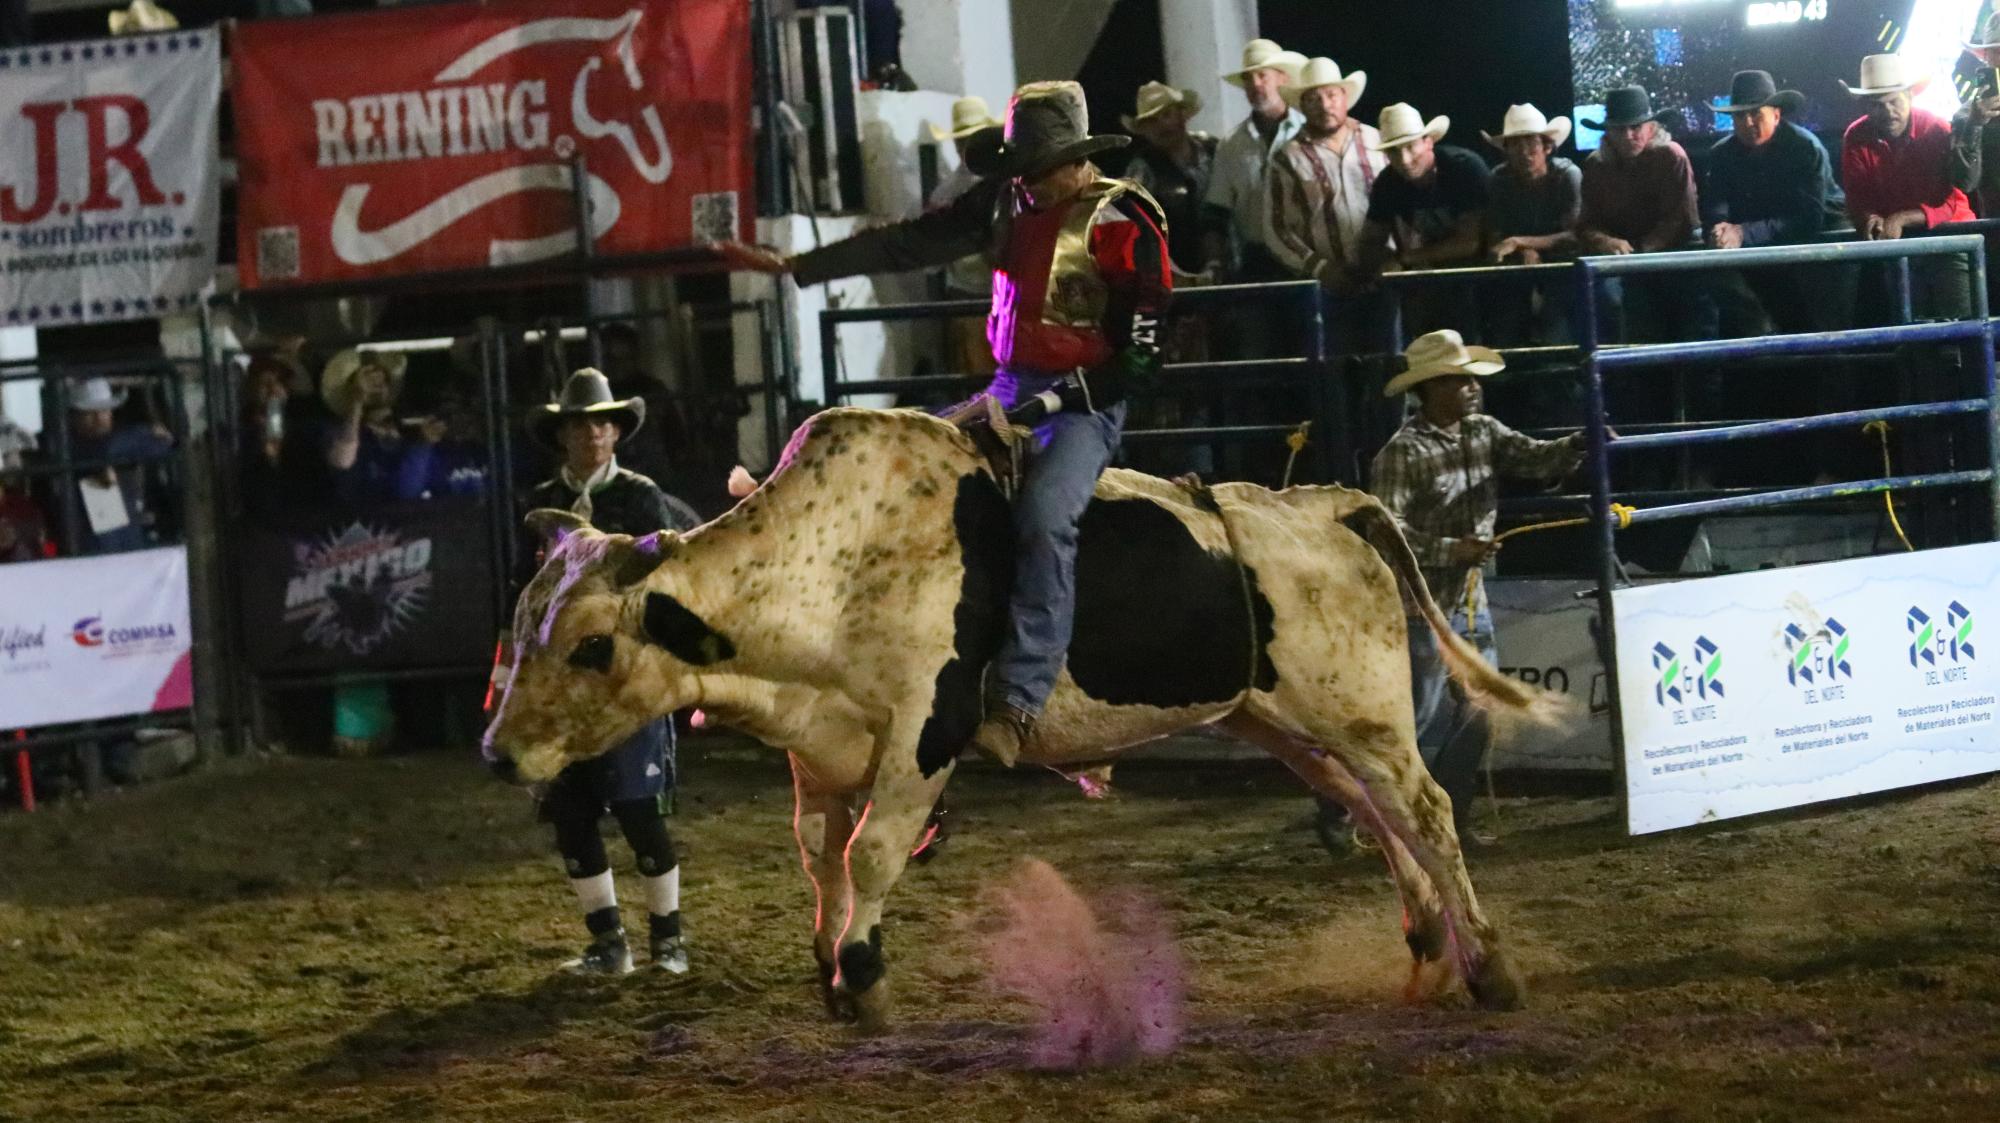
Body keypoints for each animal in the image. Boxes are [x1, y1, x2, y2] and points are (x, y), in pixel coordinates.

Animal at [484, 405, 1544, 1031]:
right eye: (522, 622)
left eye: (591, 644)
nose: (498, 753)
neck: (832, 559)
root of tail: (1329, 506)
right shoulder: (823, 748)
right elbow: (822, 854)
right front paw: (828, 961)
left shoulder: (924, 733)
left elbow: (874, 852)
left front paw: (863, 974)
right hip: (1281, 723)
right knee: (1374, 811)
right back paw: (1429, 945)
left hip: (1364, 714)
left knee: (1424, 808)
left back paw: (1491, 967)